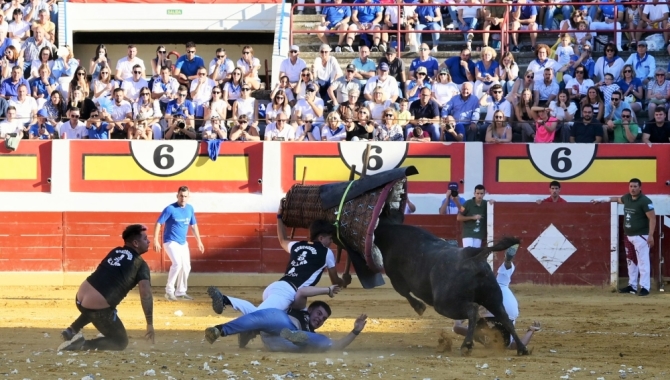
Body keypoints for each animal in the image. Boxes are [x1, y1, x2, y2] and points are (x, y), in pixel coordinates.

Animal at [378, 209, 532, 354]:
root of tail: (473, 256)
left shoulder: (394, 274)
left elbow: (403, 291)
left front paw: (419, 307)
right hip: (493, 298)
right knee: (505, 318)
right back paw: (521, 348)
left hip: (444, 304)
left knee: (473, 311)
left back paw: (467, 346)